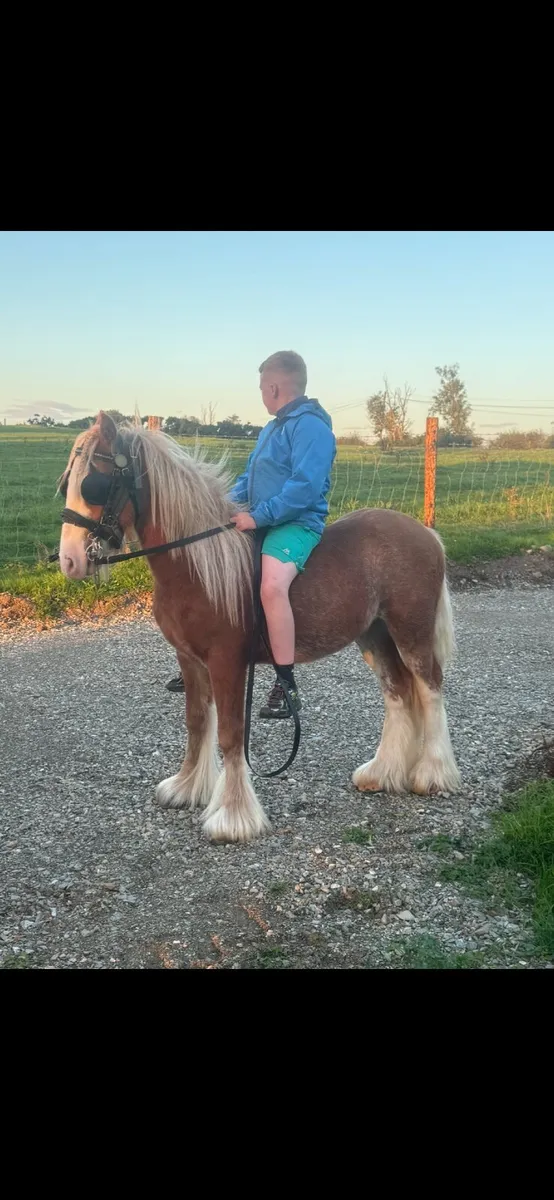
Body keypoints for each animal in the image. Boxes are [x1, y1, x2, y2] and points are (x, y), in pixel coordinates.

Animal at [57, 411, 461, 843]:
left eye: (93, 484)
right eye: (67, 483)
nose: (69, 560)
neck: (196, 564)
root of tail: (424, 532)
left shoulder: (227, 663)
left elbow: (231, 734)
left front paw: (233, 816)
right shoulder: (190, 660)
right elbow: (197, 722)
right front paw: (187, 787)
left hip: (411, 633)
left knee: (430, 688)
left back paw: (433, 774)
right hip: (374, 636)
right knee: (398, 692)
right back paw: (382, 773)